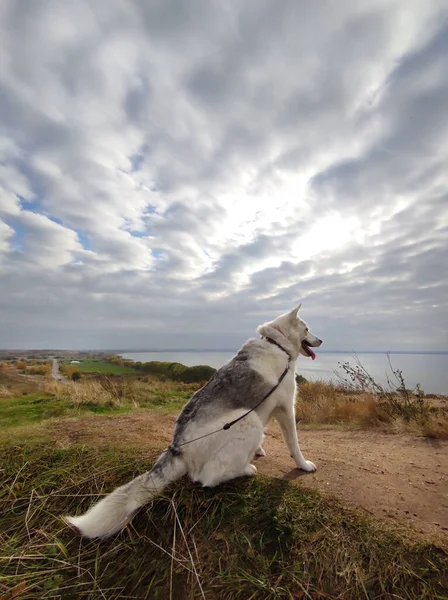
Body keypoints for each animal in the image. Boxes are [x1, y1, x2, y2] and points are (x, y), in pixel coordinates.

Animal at [64, 304, 322, 540]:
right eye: (308, 328)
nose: (321, 340)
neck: (276, 343)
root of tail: (177, 448)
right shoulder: (286, 408)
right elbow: (294, 444)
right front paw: (303, 464)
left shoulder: (268, 409)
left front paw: (258, 450)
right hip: (247, 420)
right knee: (207, 477)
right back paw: (245, 469)